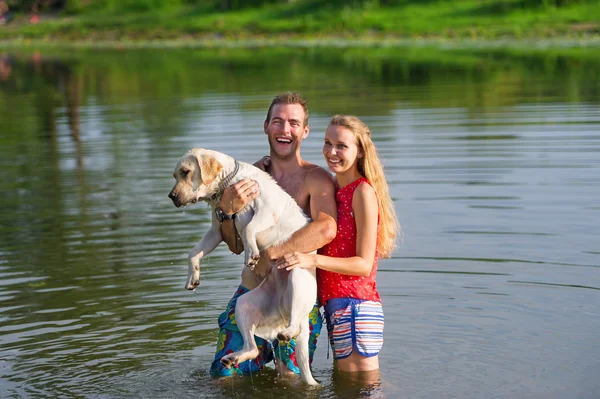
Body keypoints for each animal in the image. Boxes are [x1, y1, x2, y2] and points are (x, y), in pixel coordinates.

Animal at [169, 148, 318, 386]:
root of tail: (284, 309)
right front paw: (192, 278)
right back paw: (232, 358)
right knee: (252, 348)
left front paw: (252, 254)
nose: (171, 196)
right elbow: (194, 252)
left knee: (293, 326)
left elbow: (249, 228)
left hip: (296, 276)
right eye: (175, 175)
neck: (229, 182)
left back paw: (287, 332)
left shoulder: (266, 211)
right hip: (243, 305)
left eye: (185, 172)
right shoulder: (216, 230)